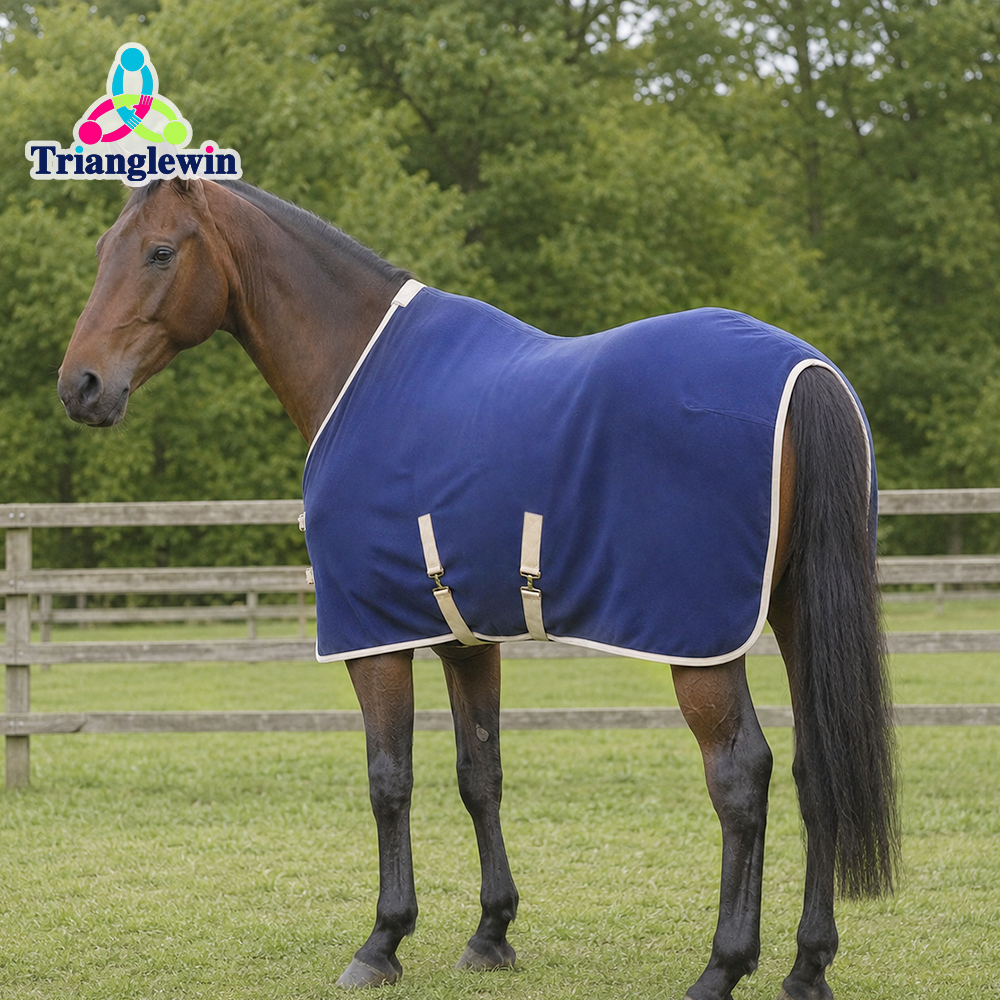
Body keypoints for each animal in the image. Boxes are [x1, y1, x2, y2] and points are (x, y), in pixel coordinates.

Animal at [58, 177, 898, 1000]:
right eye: (102, 249)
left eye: (160, 251)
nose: (80, 386)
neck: (358, 371)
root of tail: (807, 373)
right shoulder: (467, 640)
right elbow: (479, 775)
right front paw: (491, 933)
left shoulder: (374, 639)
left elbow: (389, 780)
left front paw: (382, 941)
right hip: (795, 613)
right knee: (815, 768)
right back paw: (807, 967)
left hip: (703, 647)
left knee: (740, 775)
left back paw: (722, 967)